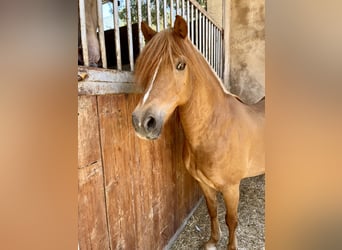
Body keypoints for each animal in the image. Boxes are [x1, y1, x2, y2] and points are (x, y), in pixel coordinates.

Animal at [132, 16, 264, 250]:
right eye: (147, 66)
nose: (142, 122)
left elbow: (232, 219)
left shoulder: (231, 188)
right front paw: (212, 241)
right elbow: (212, 211)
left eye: (180, 65)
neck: (217, 129)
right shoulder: (204, 184)